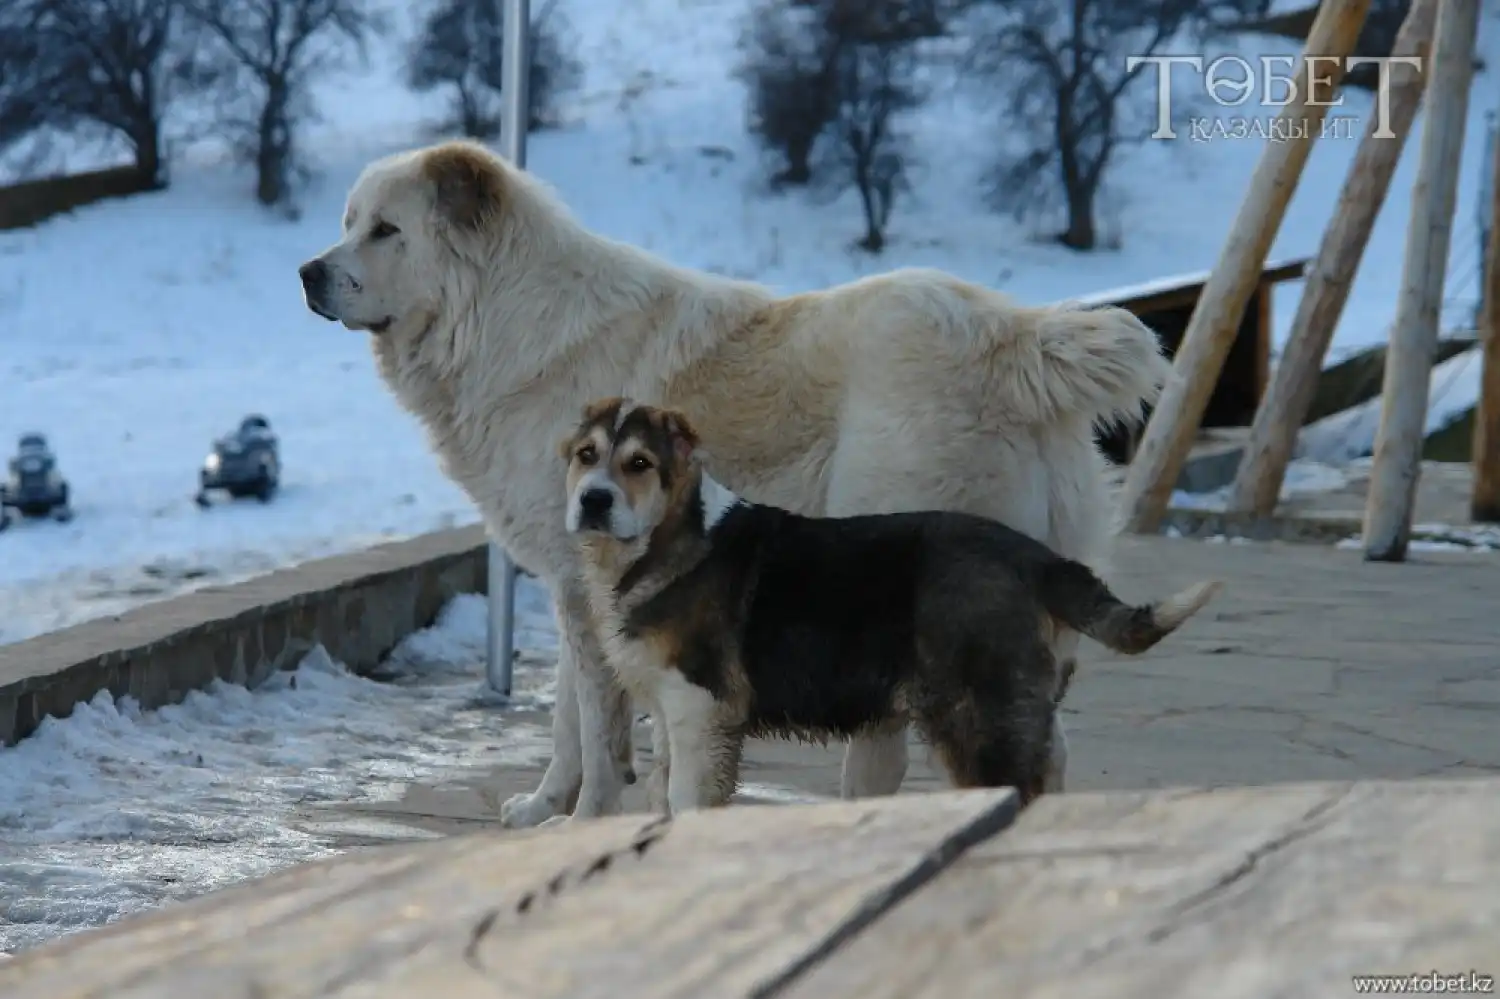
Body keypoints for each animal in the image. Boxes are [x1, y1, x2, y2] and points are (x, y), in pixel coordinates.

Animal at [561, 396, 1218, 810]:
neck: (663, 538)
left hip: (977, 712)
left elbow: (685, 796)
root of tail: (1036, 558)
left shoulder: (698, 706)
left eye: (639, 464)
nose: (593, 501)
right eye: (585, 456)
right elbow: (662, 791)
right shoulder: (670, 709)